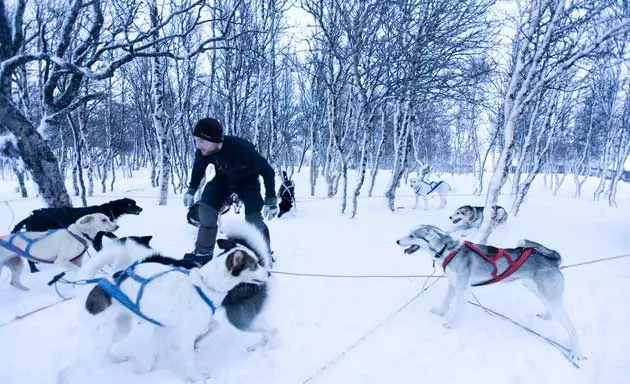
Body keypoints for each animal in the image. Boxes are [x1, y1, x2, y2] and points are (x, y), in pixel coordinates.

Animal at [82, 220, 272, 380]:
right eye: (254, 266)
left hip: (120, 328)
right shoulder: (179, 333)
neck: (205, 284)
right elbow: (186, 360)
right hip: (106, 332)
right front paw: (196, 378)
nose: (269, 273)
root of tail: (98, 285)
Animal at [398, 224, 584, 364]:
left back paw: (576, 352)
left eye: (412, 235)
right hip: (537, 290)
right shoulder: (452, 283)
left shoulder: (462, 288)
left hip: (551, 297)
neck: (447, 251)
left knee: (572, 327)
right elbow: (446, 301)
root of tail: (553, 261)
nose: (397, 240)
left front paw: (451, 324)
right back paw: (547, 316)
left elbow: (457, 308)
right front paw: (440, 312)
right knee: (550, 309)